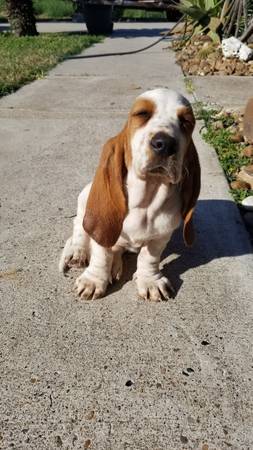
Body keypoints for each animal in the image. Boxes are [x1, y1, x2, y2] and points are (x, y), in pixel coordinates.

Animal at [58, 87, 200, 302]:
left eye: (186, 122)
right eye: (142, 113)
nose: (165, 144)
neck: (147, 198)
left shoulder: (161, 235)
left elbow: (149, 258)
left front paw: (149, 281)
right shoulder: (101, 231)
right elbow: (101, 254)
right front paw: (93, 280)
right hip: (85, 197)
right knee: (80, 227)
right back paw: (78, 252)